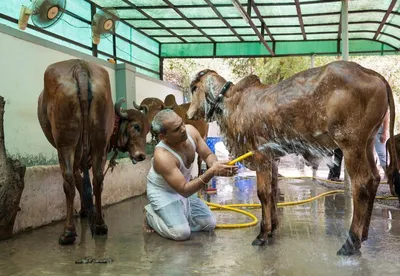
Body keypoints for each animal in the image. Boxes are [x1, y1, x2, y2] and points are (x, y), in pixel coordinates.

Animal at [37, 59, 150, 245]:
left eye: (147, 129)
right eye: (136, 127)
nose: (141, 156)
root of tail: (79, 67)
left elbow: (78, 181)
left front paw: (84, 211)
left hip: (66, 144)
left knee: (69, 181)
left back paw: (68, 233)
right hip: (97, 143)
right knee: (97, 179)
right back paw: (100, 225)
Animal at [188, 61, 400, 256]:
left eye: (194, 88)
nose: (189, 113)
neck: (233, 103)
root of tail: (369, 72)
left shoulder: (261, 155)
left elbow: (263, 194)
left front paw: (263, 234)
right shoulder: (273, 159)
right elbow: (273, 191)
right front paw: (272, 227)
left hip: (351, 144)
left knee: (362, 183)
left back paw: (351, 242)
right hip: (368, 142)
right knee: (374, 179)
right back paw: (363, 235)